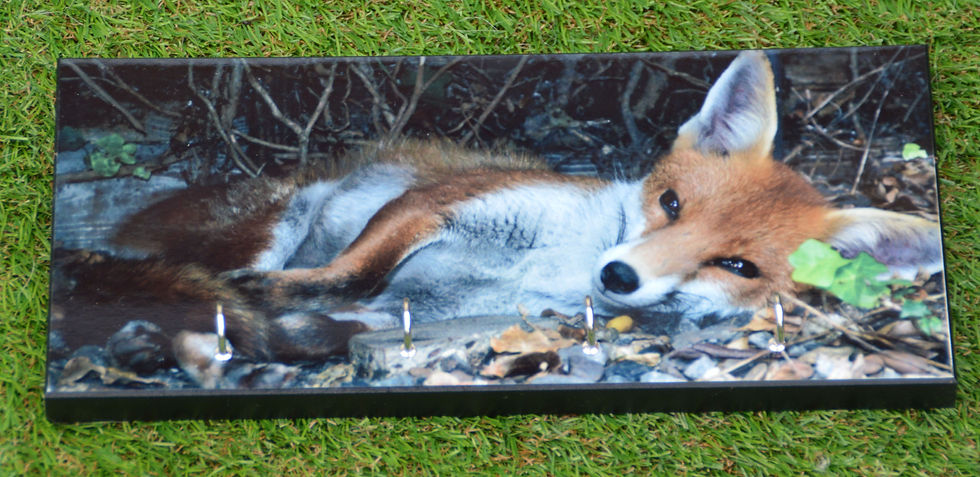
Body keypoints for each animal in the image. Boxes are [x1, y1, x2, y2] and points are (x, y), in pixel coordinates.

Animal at [55, 51, 943, 368]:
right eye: (670, 203)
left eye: (736, 264)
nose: (619, 277)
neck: (551, 262)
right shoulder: (434, 204)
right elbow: (345, 272)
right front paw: (272, 300)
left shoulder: (427, 312)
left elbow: (335, 313)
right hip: (275, 222)